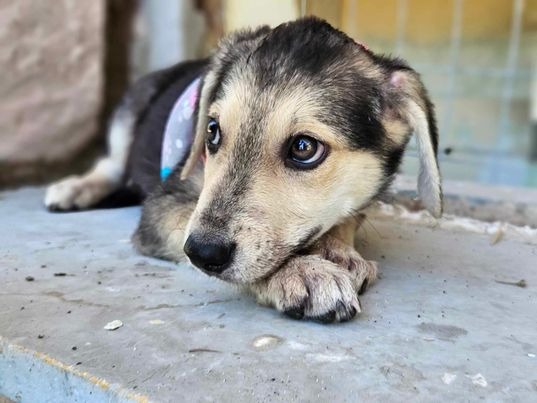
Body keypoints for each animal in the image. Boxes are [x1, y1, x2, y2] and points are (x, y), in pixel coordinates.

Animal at [44, 17, 442, 323]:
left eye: (304, 148)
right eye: (211, 131)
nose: (203, 253)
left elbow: (346, 217)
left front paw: (335, 250)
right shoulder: (164, 206)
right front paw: (303, 271)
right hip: (130, 113)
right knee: (110, 164)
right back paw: (73, 189)